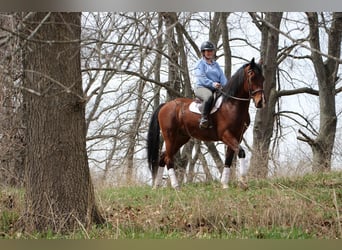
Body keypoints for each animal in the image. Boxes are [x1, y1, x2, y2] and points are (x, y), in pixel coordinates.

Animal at [147, 57, 264, 188]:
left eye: (263, 78)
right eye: (252, 77)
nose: (260, 102)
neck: (232, 105)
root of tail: (165, 105)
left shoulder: (237, 136)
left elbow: (229, 159)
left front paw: (225, 185)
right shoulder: (226, 135)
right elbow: (241, 152)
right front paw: (243, 181)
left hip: (181, 138)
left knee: (163, 157)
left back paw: (156, 186)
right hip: (170, 137)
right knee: (168, 159)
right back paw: (176, 186)